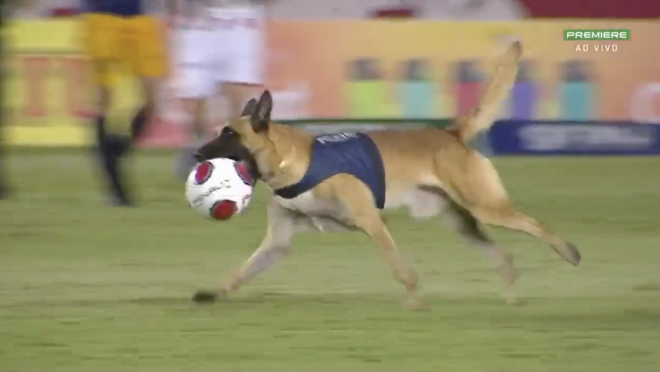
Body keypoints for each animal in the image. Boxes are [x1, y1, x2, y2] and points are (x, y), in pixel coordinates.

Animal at [192, 42, 584, 306]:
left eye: (229, 134)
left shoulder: (372, 222)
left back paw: (568, 251)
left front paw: (414, 302)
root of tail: (450, 133)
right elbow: (241, 270)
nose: (196, 154)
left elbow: (401, 269)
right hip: (464, 222)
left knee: (536, 225)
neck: (292, 162)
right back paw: (513, 294)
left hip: (486, 207)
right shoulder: (278, 243)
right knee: (504, 256)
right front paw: (215, 292)